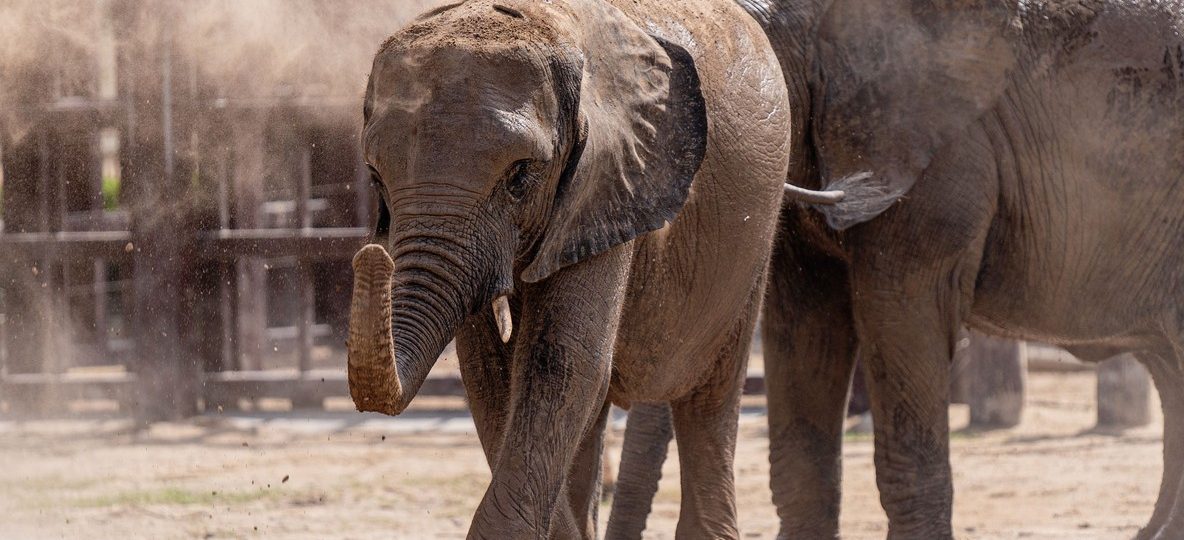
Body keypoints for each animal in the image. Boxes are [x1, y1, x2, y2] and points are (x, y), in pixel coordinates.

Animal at [342, 0, 835, 537]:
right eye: (375, 178)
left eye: (519, 176)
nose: (372, 257)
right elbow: (489, 374)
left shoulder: (609, 182)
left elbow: (561, 360)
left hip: (757, 226)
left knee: (709, 394)